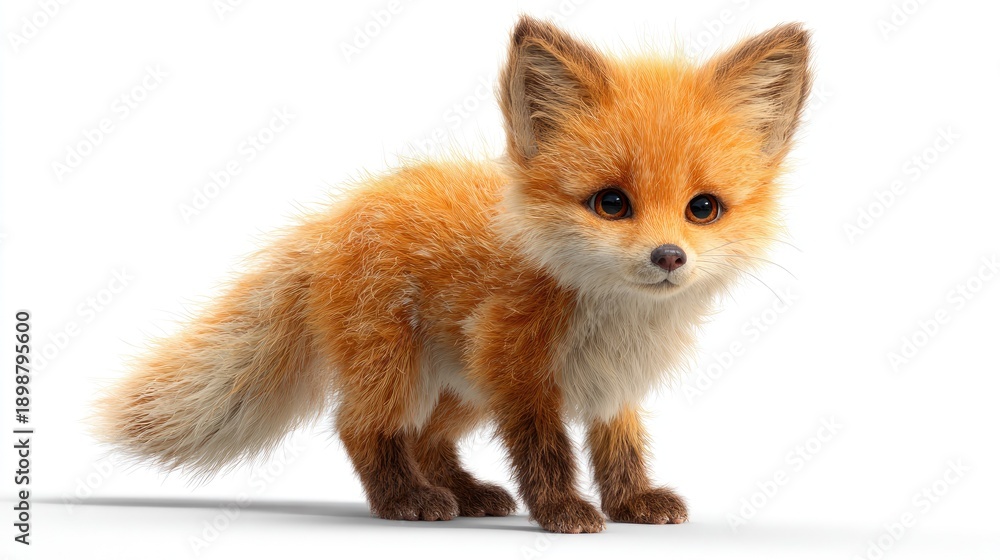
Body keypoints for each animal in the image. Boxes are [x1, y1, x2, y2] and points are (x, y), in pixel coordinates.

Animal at [97, 16, 811, 533]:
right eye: (612, 203)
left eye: (703, 209)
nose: (669, 256)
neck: (610, 317)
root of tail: (333, 222)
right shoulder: (518, 371)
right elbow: (546, 449)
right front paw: (563, 511)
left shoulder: (609, 383)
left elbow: (620, 447)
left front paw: (631, 501)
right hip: (400, 371)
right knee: (363, 428)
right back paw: (407, 500)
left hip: (461, 386)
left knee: (430, 439)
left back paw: (464, 492)